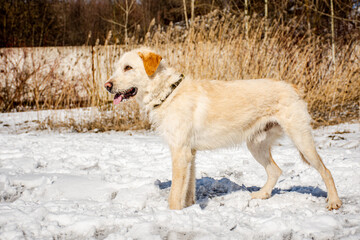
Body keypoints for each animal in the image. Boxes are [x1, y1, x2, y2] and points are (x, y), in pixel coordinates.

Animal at [105, 47, 344, 211]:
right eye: (117, 68)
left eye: (128, 68)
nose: (107, 86)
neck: (167, 92)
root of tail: (293, 87)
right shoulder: (190, 153)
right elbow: (188, 189)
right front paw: (189, 209)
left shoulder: (180, 152)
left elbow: (175, 193)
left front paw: (173, 214)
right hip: (256, 144)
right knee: (276, 171)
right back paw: (262, 195)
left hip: (302, 140)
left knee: (327, 171)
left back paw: (334, 202)